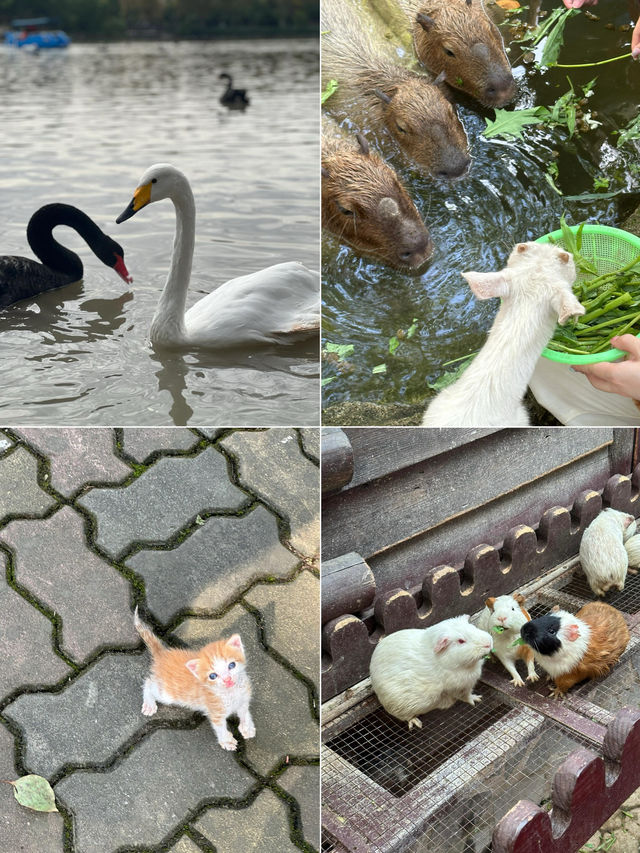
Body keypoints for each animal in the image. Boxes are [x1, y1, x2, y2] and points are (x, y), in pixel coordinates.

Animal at [132, 604, 255, 752]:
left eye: (232, 665)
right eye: (213, 676)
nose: (227, 680)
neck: (231, 692)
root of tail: (163, 655)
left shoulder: (244, 698)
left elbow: (244, 711)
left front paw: (247, 727)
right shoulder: (215, 712)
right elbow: (220, 728)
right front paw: (227, 741)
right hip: (168, 694)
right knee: (149, 682)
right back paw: (149, 703)